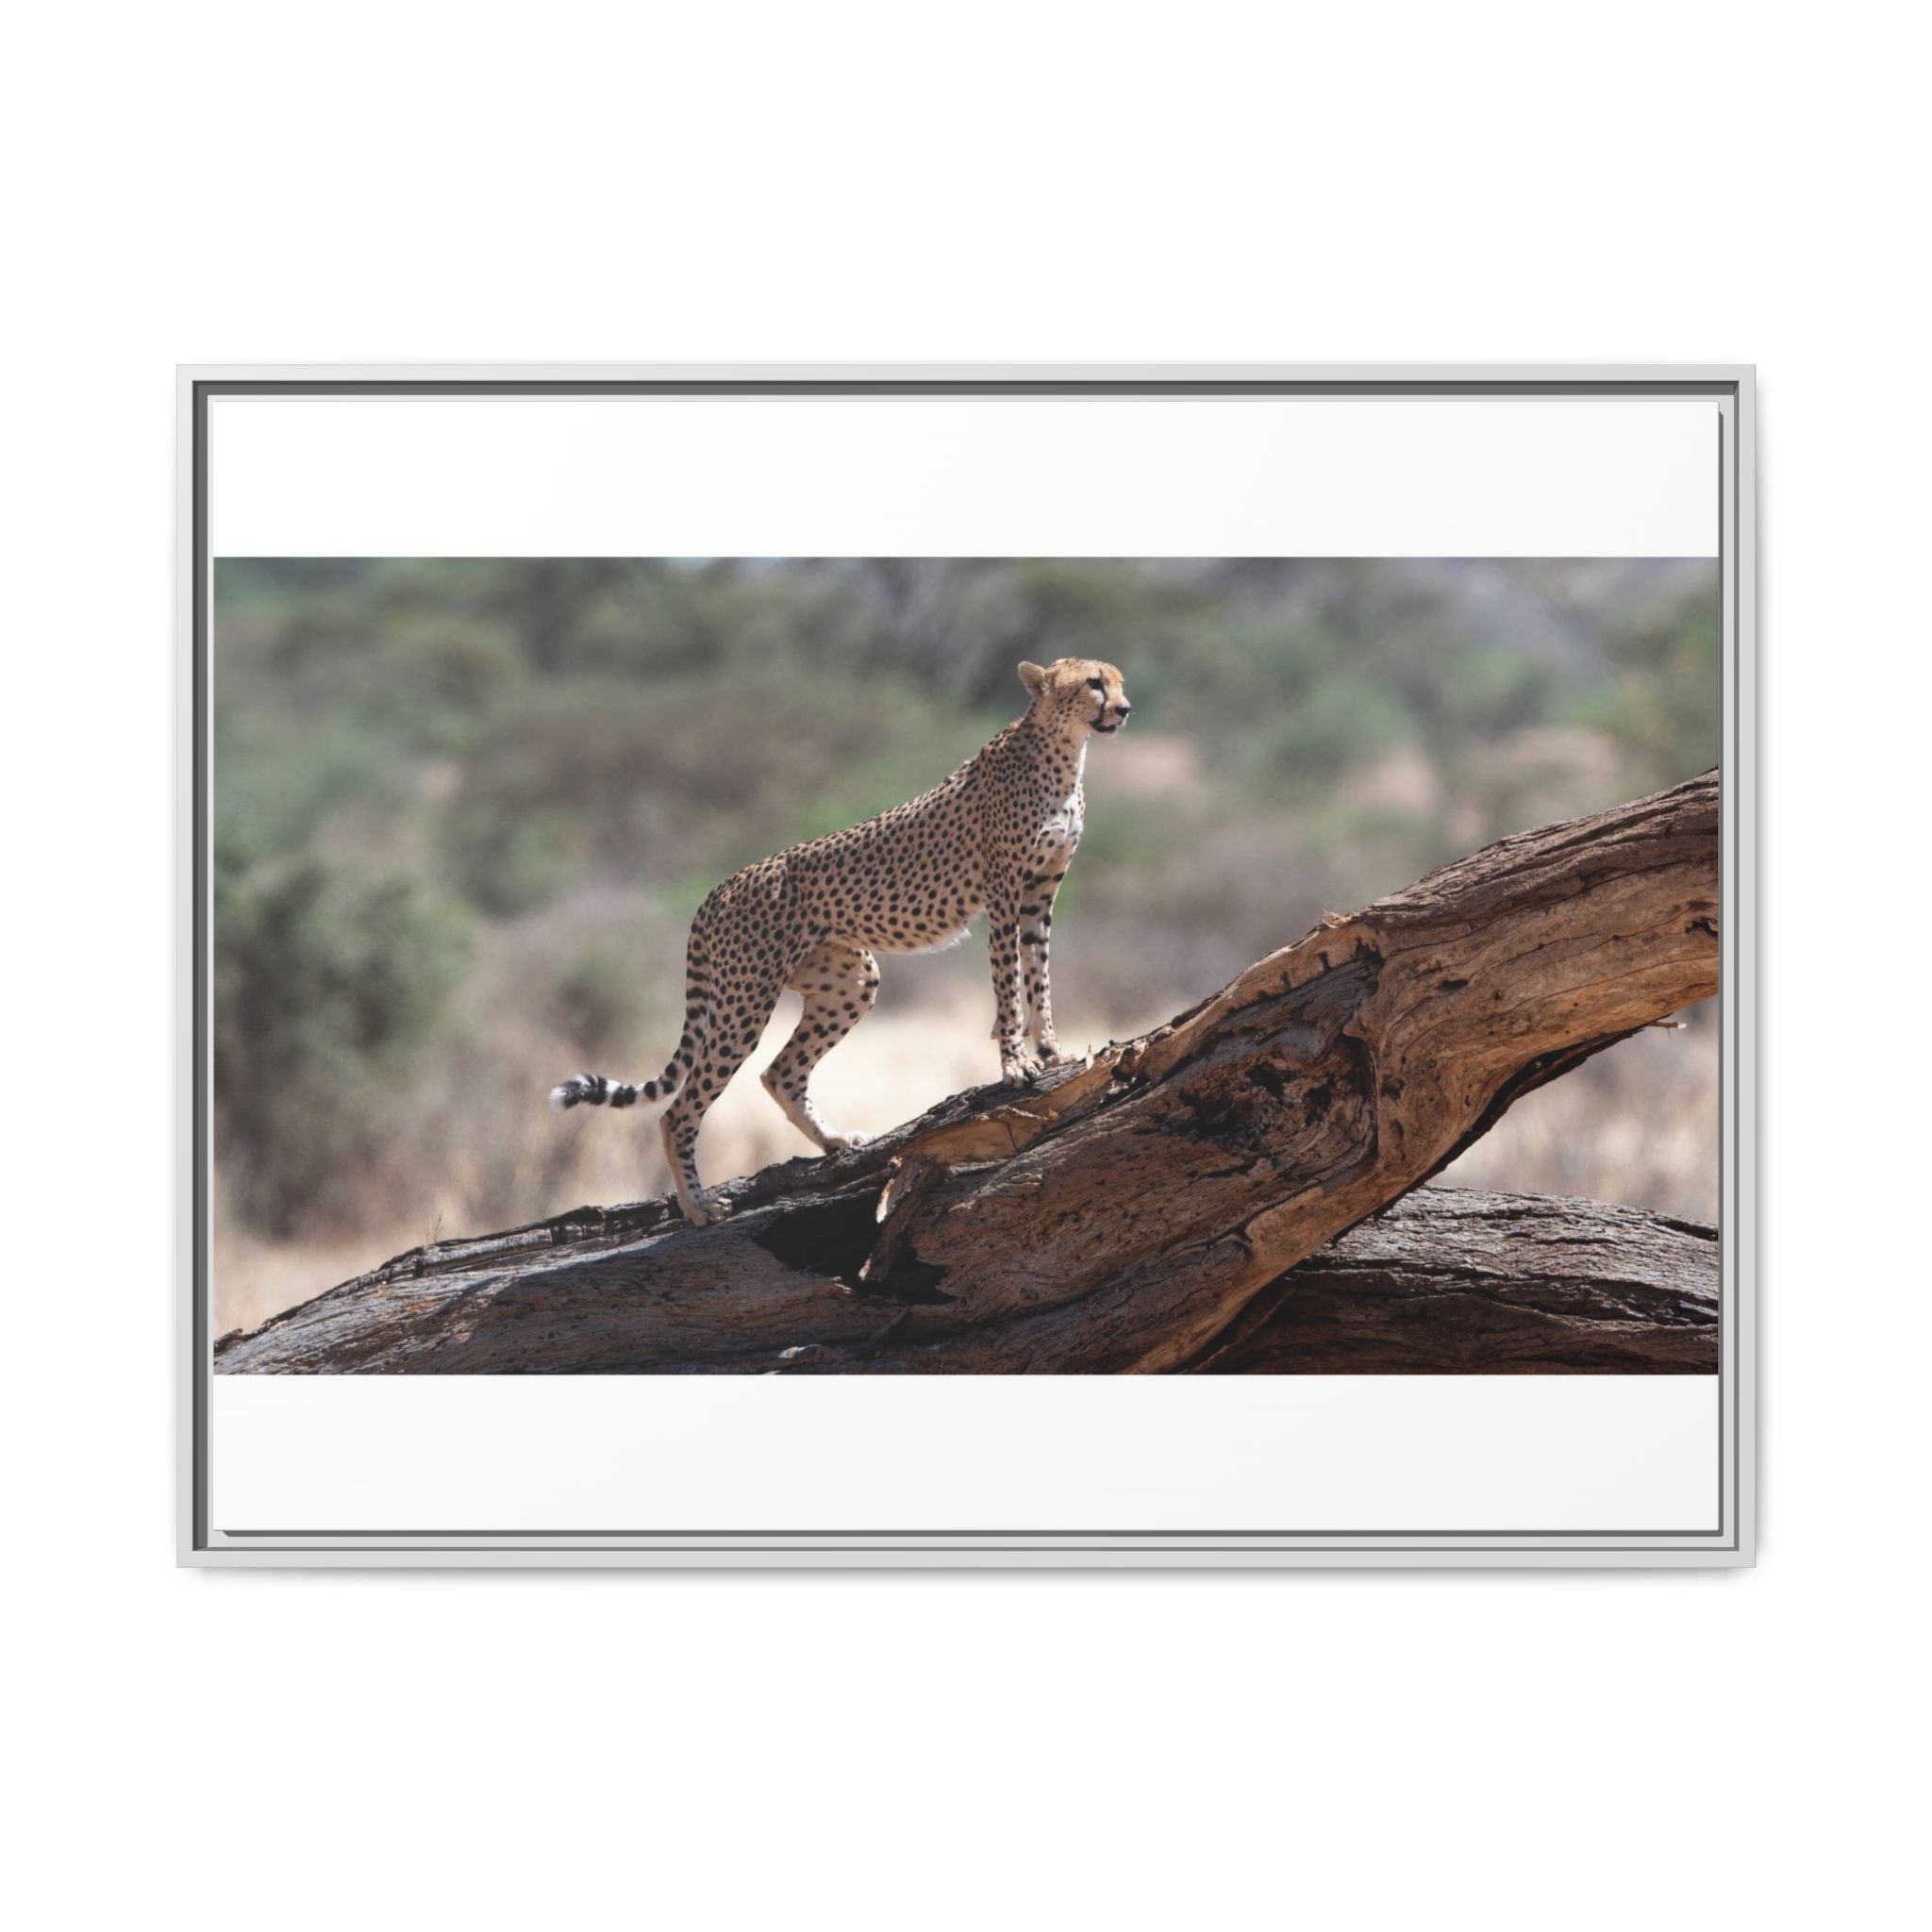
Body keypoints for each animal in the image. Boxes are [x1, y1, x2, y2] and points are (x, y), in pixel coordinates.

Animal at [548, 656, 1133, 1224]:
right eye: (1093, 684)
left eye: (1118, 681)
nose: (1125, 709)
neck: (1064, 751)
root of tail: (721, 886)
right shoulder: (1004, 894)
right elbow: (1009, 984)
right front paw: (1015, 1064)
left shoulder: (1039, 895)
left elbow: (1039, 975)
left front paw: (1051, 1049)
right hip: (745, 999)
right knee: (680, 1109)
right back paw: (698, 1206)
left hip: (849, 980)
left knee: (780, 1073)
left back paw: (835, 1142)